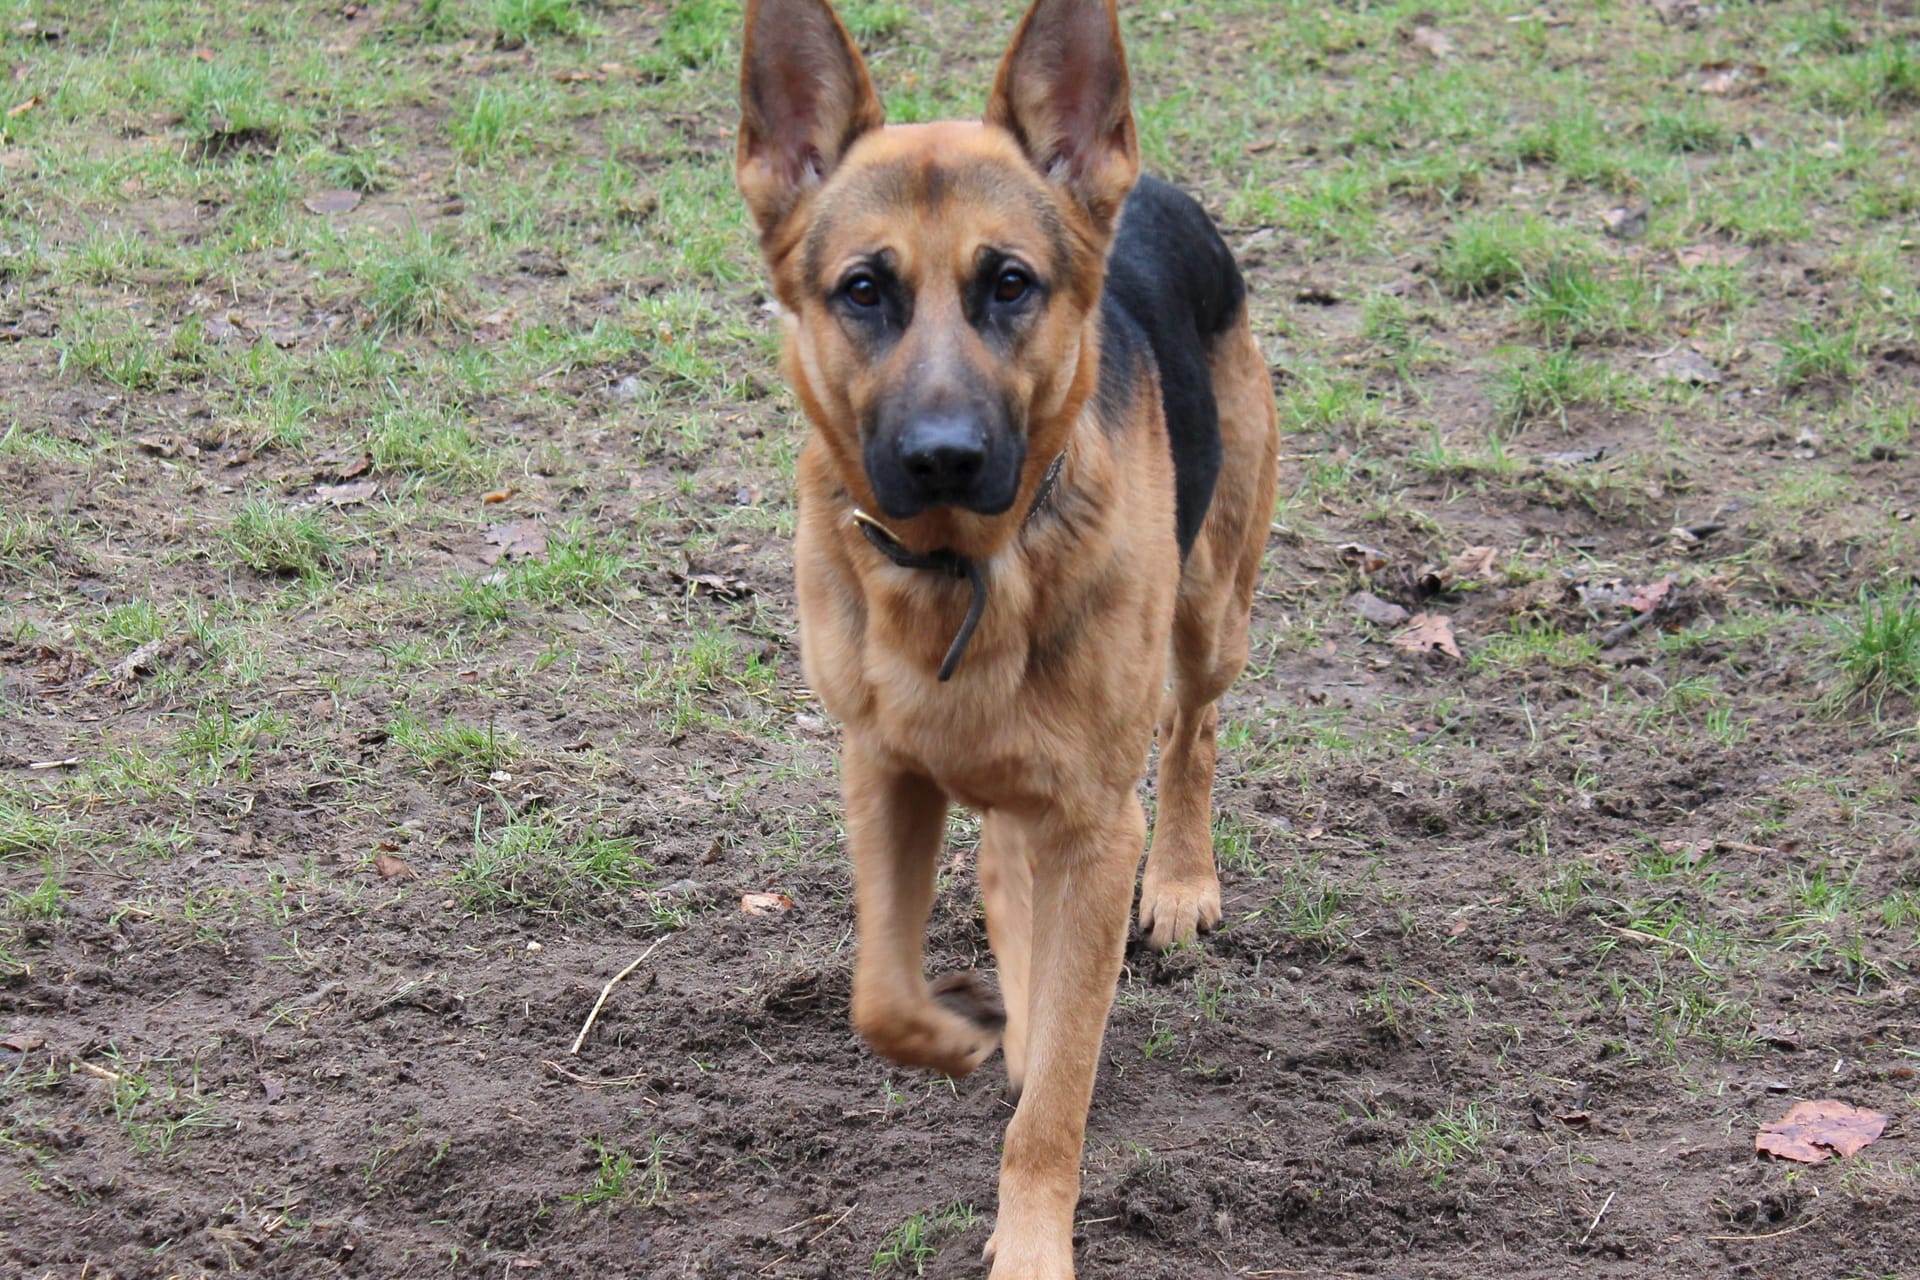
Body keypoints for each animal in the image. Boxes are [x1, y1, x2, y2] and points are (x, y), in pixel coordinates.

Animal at [741, 0, 1282, 1274]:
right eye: (864, 290)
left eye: (1010, 284)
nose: (944, 455)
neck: (960, 568)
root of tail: (1155, 187)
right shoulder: (882, 765)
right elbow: (882, 994)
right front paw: (963, 1030)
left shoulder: (1094, 823)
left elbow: (1060, 1100)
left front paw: (1032, 1239)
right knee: (1003, 860)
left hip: (1211, 616)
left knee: (1193, 727)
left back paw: (1180, 881)